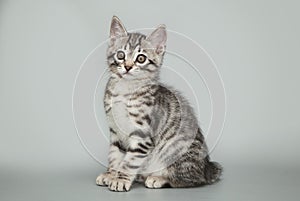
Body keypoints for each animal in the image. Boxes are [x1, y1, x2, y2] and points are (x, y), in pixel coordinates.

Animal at [96, 15, 223, 192]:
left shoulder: (142, 134)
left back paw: (158, 178)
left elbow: (130, 161)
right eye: (121, 55)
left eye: (141, 58)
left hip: (175, 151)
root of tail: (205, 168)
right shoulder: (115, 131)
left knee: (189, 180)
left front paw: (121, 179)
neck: (125, 91)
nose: (127, 67)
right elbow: (115, 155)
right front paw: (111, 174)